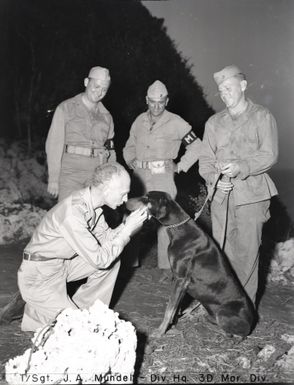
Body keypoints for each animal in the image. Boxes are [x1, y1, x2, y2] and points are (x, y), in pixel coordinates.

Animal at [126, 190, 255, 338]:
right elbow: (175, 307)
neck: (180, 229)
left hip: (223, 313)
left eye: (147, 198)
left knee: (237, 335)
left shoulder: (181, 279)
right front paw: (173, 324)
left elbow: (169, 309)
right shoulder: (180, 282)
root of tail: (251, 322)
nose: (125, 202)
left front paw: (160, 331)